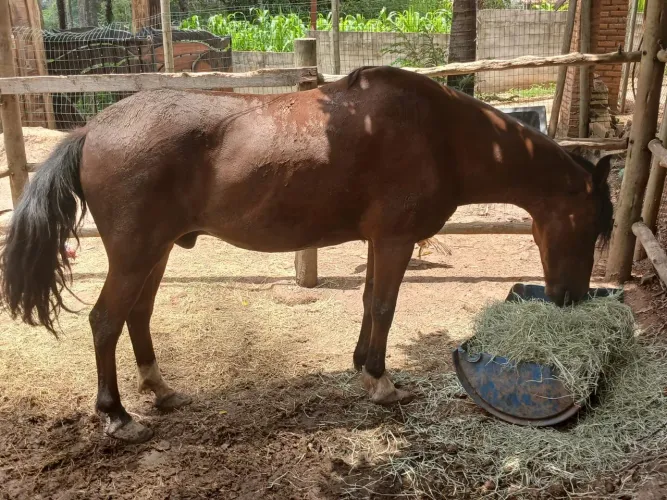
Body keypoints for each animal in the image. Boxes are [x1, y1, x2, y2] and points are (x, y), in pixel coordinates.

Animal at [0, 66, 613, 443]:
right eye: (591, 225)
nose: (570, 300)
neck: (440, 134)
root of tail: (91, 129)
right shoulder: (395, 239)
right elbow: (384, 307)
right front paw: (382, 383)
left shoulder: (379, 241)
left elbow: (369, 304)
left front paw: (363, 368)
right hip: (135, 254)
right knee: (106, 321)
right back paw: (118, 415)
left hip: (156, 253)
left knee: (138, 315)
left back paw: (161, 390)